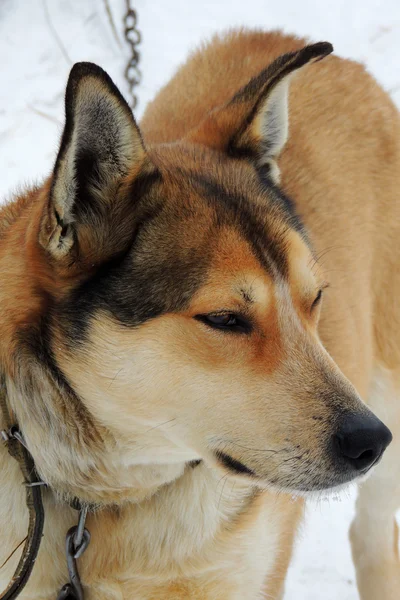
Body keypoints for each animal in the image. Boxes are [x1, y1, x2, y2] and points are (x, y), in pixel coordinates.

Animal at [0, 27, 396, 600]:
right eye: (226, 319)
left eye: (315, 298)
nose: (370, 441)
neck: (106, 502)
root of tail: (277, 33)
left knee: (373, 536)